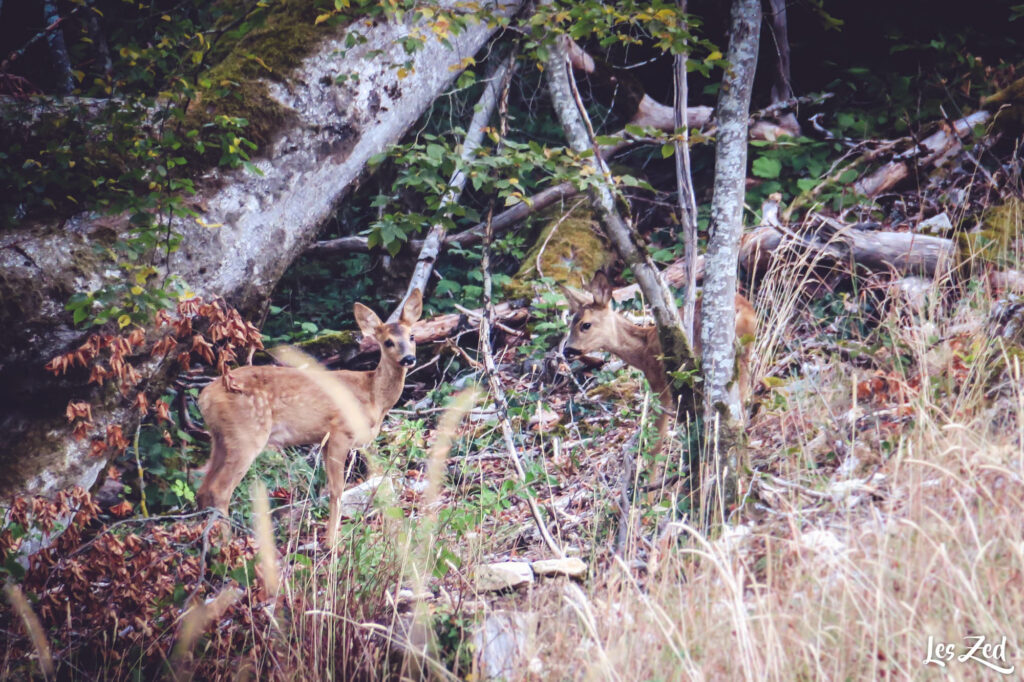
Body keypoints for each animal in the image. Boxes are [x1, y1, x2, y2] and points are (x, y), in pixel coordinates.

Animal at [193, 288, 421, 544]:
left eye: (412, 336)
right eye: (388, 342)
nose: (408, 359)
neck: (373, 396)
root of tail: (204, 396)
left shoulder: (327, 441)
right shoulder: (340, 432)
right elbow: (336, 490)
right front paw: (331, 543)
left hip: (221, 438)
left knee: (203, 489)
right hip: (246, 435)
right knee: (219, 490)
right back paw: (228, 544)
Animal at [561, 270, 753, 462]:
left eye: (586, 324)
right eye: (571, 323)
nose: (567, 350)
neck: (642, 351)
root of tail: (743, 310)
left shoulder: (661, 384)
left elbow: (656, 442)